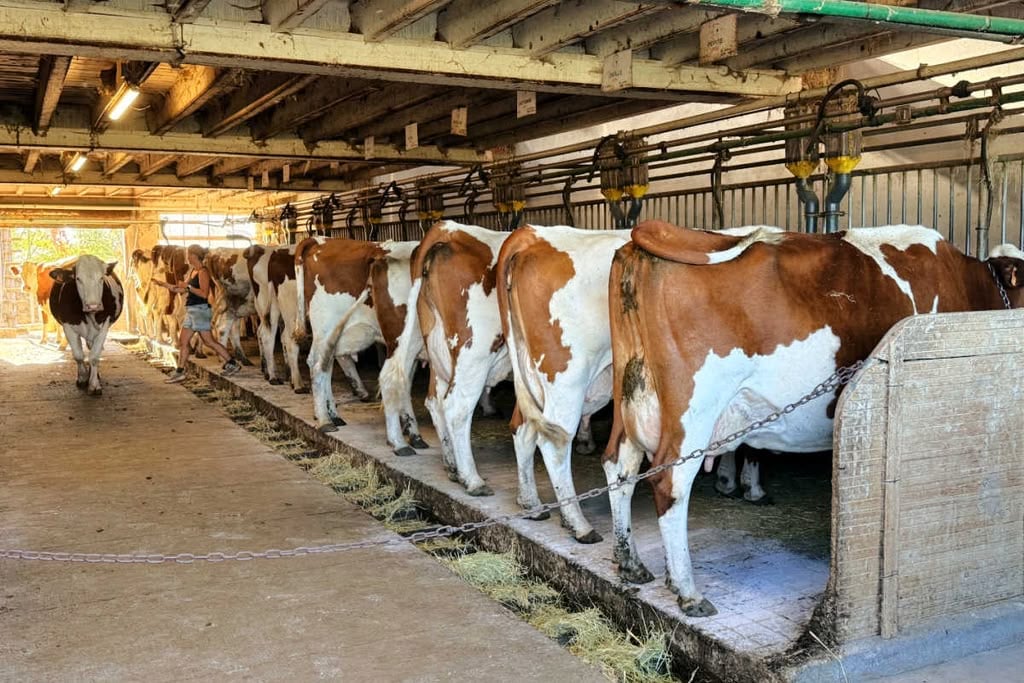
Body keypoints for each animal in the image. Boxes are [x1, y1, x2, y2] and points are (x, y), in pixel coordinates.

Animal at [48, 254, 124, 396]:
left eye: (101, 278)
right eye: (78, 279)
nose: (93, 305)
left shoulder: (104, 326)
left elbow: (94, 356)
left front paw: (94, 384)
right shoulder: (68, 326)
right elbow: (78, 355)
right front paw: (82, 378)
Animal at [496, 225, 631, 543]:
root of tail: (531, 234)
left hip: (529, 374)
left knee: (522, 427)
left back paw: (532, 505)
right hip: (567, 377)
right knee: (553, 442)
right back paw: (578, 524)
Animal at [604, 221, 1024, 618]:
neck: (969, 281)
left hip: (627, 394)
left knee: (619, 467)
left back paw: (630, 563)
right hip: (694, 409)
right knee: (669, 482)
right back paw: (688, 591)